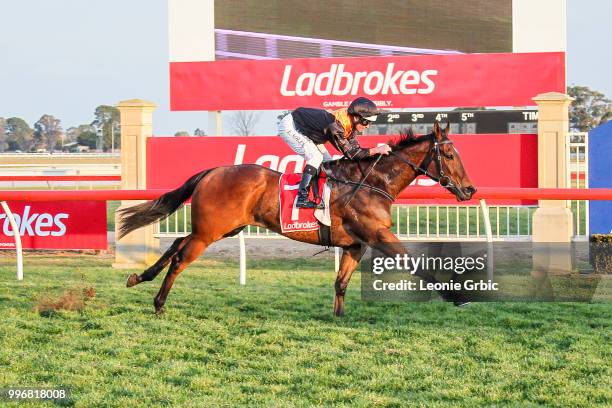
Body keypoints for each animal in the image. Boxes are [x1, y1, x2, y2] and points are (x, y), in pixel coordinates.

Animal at [117, 121, 476, 316]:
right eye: (448, 154)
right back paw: (159, 303)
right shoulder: (379, 236)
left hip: (224, 228)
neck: (372, 182)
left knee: (177, 241)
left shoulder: (355, 245)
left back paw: (140, 277)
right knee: (180, 258)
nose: (470, 190)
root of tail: (213, 171)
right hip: (210, 232)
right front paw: (457, 296)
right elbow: (420, 266)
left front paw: (338, 317)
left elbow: (340, 282)